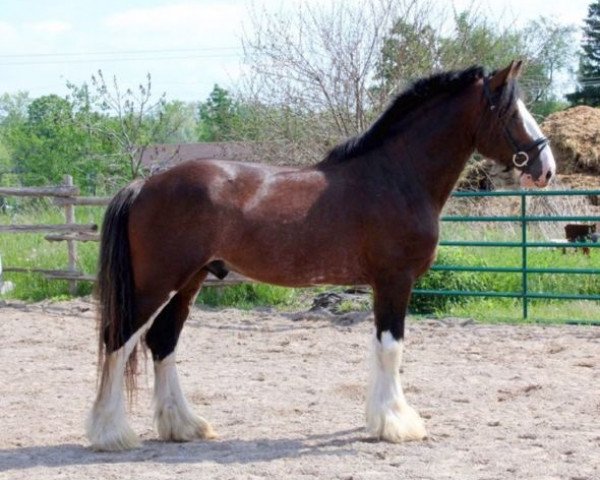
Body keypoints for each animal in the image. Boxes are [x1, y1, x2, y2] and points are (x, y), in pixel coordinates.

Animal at [86, 60, 556, 450]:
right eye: (510, 112)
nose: (546, 168)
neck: (395, 176)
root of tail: (144, 186)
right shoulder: (395, 280)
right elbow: (392, 348)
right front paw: (397, 424)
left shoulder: (382, 284)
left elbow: (381, 348)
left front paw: (381, 420)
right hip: (156, 284)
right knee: (119, 341)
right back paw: (111, 434)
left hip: (190, 281)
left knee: (162, 341)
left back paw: (184, 426)